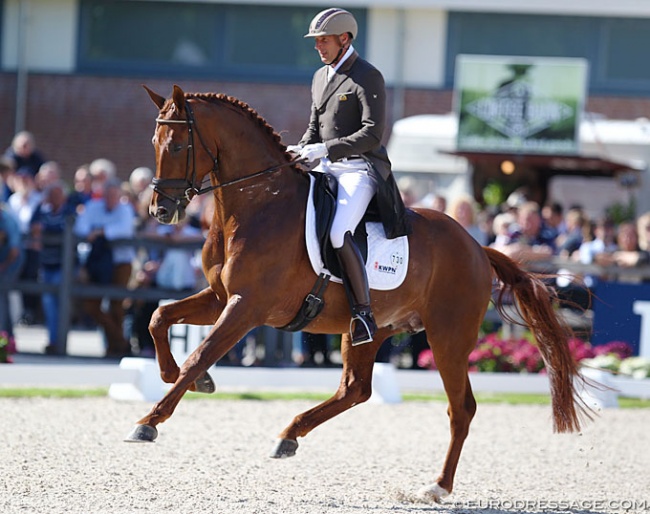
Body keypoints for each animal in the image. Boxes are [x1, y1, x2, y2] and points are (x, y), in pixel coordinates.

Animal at [126, 84, 588, 500]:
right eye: (153, 142)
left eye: (179, 143)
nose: (160, 210)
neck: (258, 205)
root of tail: (477, 247)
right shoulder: (221, 297)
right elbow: (160, 317)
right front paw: (177, 376)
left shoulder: (247, 307)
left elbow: (201, 352)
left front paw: (149, 420)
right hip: (371, 328)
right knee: (356, 389)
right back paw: (289, 436)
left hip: (448, 336)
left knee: (461, 408)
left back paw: (437, 487)